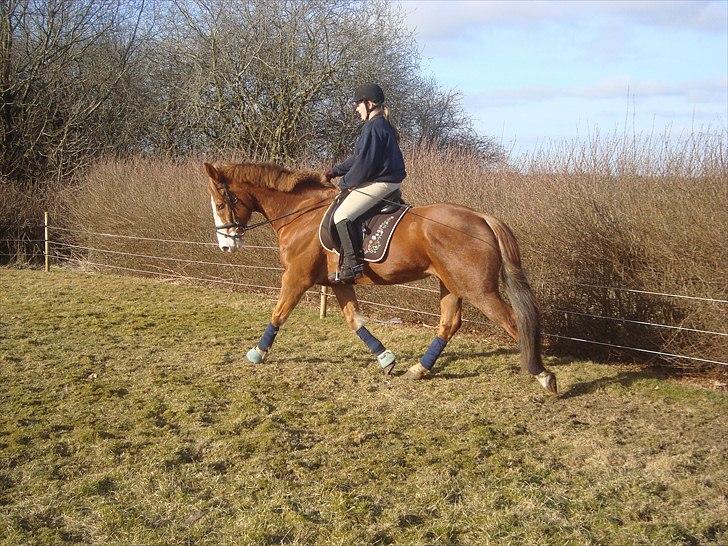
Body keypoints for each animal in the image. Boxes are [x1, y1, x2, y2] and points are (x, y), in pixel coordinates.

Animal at [202, 159, 556, 394]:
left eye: (220, 203)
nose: (226, 246)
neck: (301, 215)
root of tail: (482, 217)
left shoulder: (297, 278)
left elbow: (278, 313)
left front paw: (257, 353)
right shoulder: (338, 283)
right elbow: (355, 321)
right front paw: (386, 359)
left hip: (478, 289)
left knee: (512, 322)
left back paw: (542, 375)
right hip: (451, 284)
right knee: (449, 323)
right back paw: (419, 369)